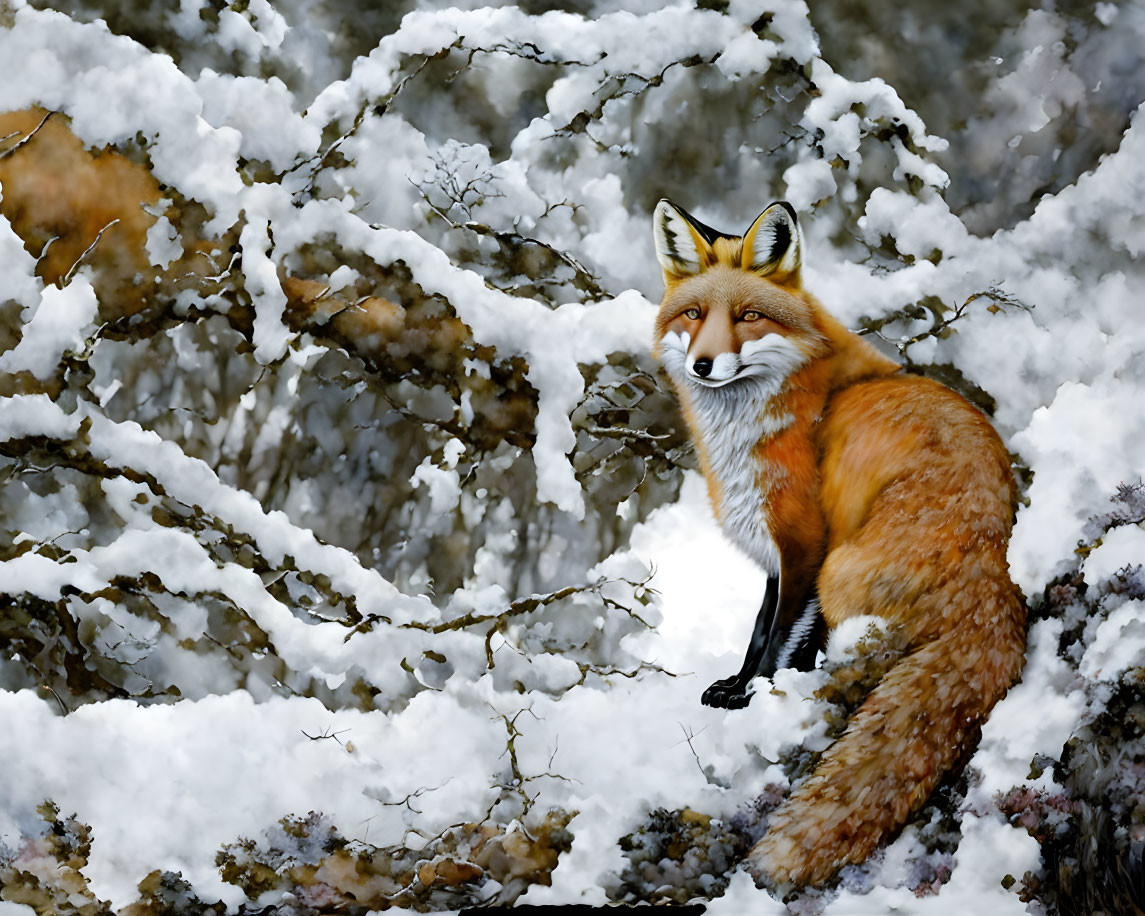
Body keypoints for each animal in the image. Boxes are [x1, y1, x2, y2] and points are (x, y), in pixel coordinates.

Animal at [654, 198, 1030, 888]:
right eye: (694, 316)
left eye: (748, 316)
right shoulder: (775, 555)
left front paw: (754, 701)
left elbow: (777, 642)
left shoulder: (806, 545)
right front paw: (735, 686)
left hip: (843, 570)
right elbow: (759, 629)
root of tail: (998, 572)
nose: (702, 365)